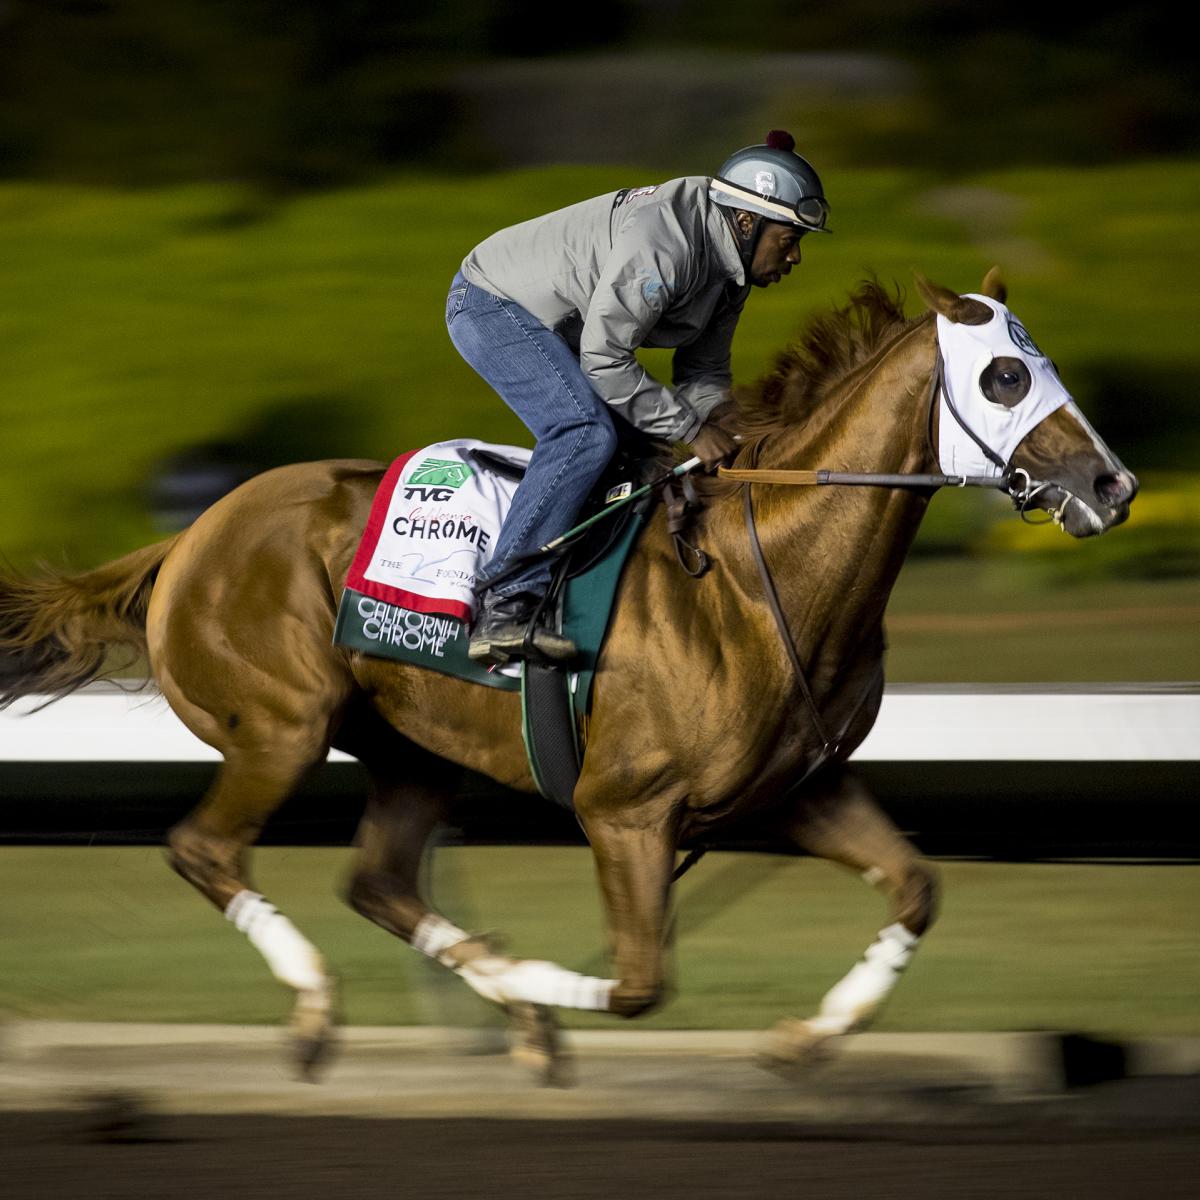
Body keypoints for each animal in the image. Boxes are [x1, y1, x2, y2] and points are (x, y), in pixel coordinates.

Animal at [0, 272, 1132, 1089]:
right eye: (1002, 378)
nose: (1111, 484)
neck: (759, 575)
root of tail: (189, 536)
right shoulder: (625, 811)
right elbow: (638, 983)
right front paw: (546, 999)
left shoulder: (796, 789)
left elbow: (916, 887)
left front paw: (803, 1040)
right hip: (280, 727)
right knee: (206, 849)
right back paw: (331, 1011)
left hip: (411, 753)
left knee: (377, 880)